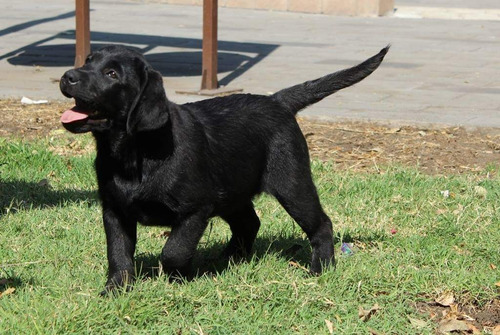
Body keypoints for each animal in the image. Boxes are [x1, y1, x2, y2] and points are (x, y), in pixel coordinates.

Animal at [59, 45, 390, 294]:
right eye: (88, 61)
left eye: (112, 73)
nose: (67, 75)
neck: (134, 152)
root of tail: (277, 101)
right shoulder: (114, 210)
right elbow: (118, 253)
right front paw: (115, 290)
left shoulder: (195, 209)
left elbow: (174, 250)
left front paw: (177, 279)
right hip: (233, 191)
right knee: (249, 223)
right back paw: (229, 259)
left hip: (291, 183)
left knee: (321, 224)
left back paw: (320, 267)